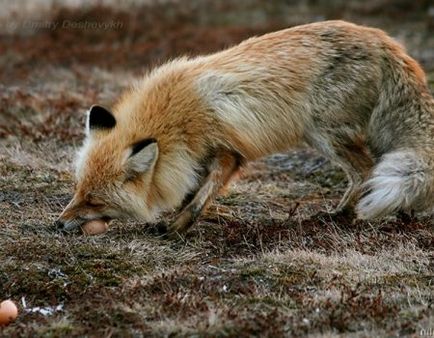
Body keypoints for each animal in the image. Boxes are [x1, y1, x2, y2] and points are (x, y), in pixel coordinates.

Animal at [55, 19, 434, 235]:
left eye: (93, 200)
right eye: (78, 190)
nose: (56, 224)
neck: (174, 118)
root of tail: (387, 41)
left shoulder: (227, 152)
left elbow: (200, 197)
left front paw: (176, 228)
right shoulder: (196, 157)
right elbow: (192, 191)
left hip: (325, 133)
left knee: (366, 170)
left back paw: (343, 216)